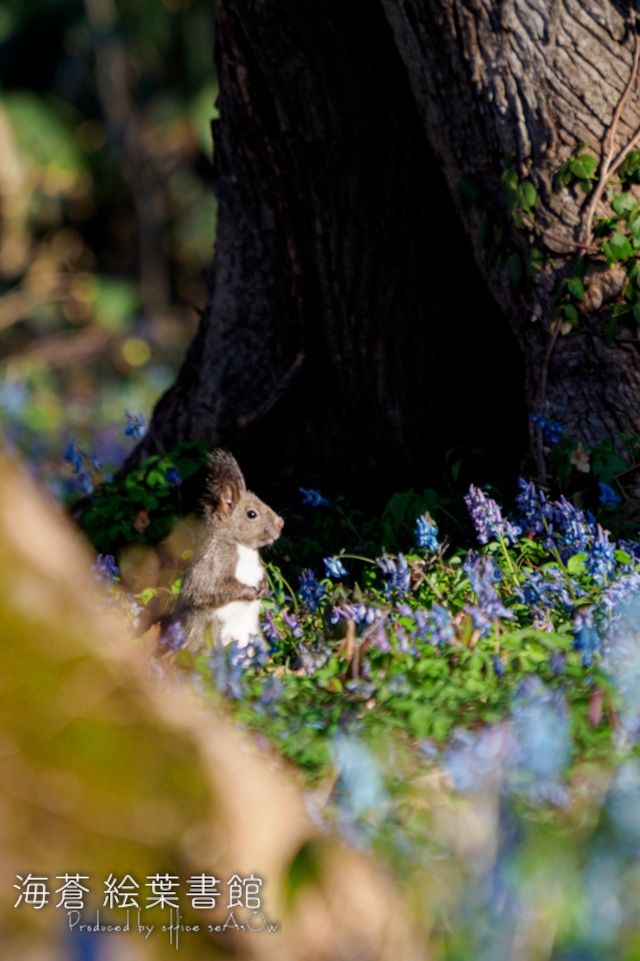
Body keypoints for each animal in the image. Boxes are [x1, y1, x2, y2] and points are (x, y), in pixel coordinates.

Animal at [159, 448, 284, 652]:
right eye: (251, 514)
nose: (281, 523)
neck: (243, 548)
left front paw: (264, 585)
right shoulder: (212, 564)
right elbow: (208, 589)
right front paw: (248, 592)